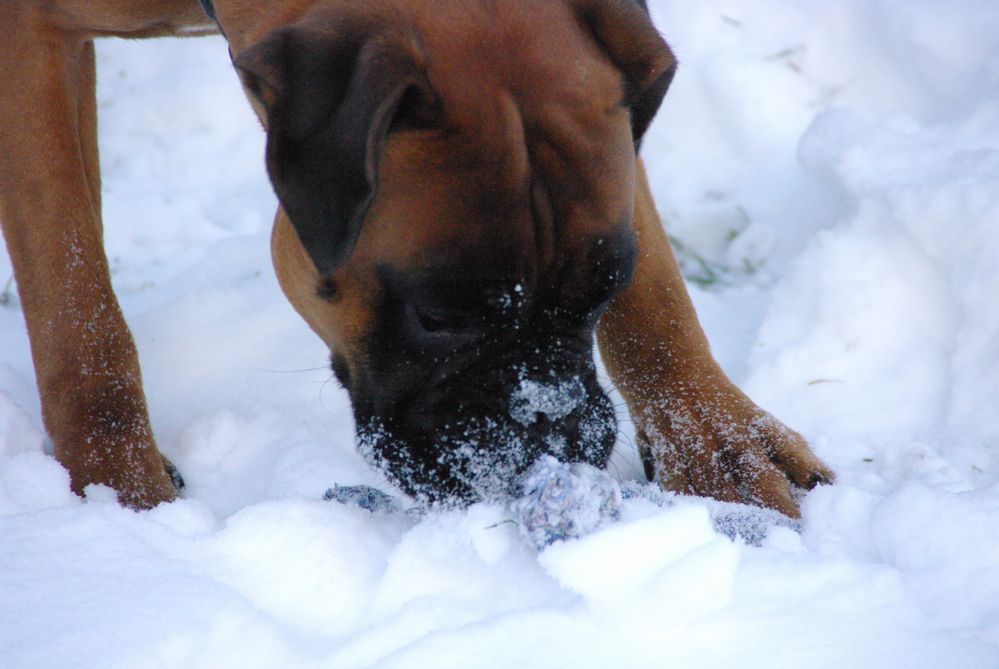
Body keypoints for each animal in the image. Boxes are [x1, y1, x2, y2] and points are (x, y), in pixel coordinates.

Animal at [0, 0, 832, 516]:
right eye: (436, 316)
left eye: (602, 289)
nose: (550, 434)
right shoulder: (32, 50)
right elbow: (76, 300)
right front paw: (117, 487)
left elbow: (657, 285)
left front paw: (715, 441)